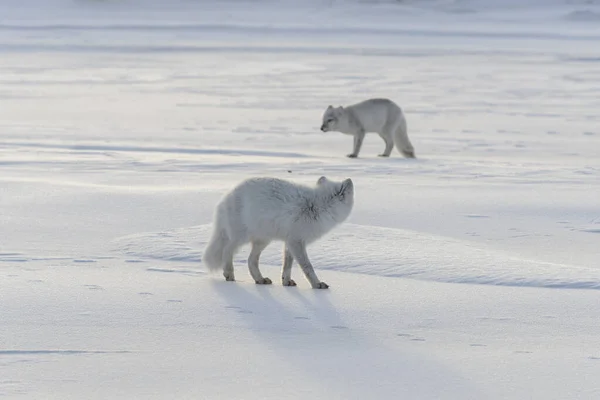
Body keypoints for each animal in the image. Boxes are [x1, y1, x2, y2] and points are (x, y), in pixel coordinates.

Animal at [203, 177, 352, 290]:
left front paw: (286, 282)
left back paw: (260, 279)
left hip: (263, 240)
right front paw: (316, 284)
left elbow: (287, 265)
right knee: (227, 251)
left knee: (251, 260)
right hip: (241, 237)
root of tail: (225, 198)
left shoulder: (290, 242)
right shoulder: (296, 242)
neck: (317, 206)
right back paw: (229, 274)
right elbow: (307, 267)